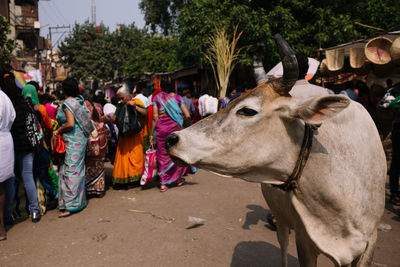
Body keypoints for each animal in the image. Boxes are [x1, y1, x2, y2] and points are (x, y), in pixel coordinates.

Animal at [166, 34, 388, 266]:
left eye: (247, 110)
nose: (173, 139)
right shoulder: (304, 238)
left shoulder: (370, 242)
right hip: (281, 219)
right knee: (283, 245)